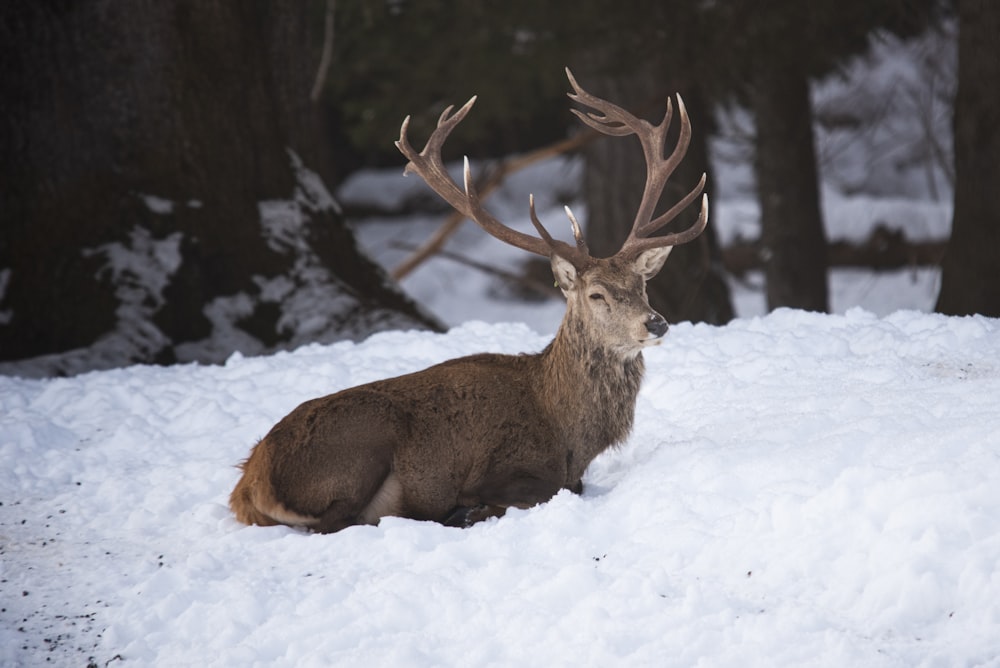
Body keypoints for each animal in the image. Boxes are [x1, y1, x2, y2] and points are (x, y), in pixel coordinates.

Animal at [229, 69, 708, 532]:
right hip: (360, 447)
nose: (656, 322)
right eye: (596, 293)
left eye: (641, 284)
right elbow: (552, 490)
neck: (568, 432)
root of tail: (249, 484)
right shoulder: (503, 470)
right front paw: (471, 510)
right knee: (336, 523)